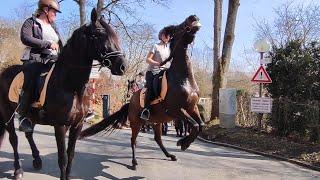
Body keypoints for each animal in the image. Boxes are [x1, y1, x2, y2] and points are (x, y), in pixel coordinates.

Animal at [0, 8, 127, 180]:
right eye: (99, 34)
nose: (122, 66)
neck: (70, 85)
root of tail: (4, 72)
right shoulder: (60, 126)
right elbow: (63, 159)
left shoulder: (76, 126)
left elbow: (71, 155)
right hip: (8, 113)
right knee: (14, 139)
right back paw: (18, 170)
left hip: (31, 116)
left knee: (28, 133)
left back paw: (37, 160)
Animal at [81, 14, 204, 169]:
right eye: (178, 27)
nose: (193, 16)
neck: (183, 78)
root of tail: (131, 101)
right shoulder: (176, 109)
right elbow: (195, 125)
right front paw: (183, 143)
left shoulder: (192, 107)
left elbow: (200, 125)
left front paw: (184, 142)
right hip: (136, 123)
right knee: (133, 140)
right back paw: (134, 162)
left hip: (157, 122)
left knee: (158, 139)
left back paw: (170, 155)